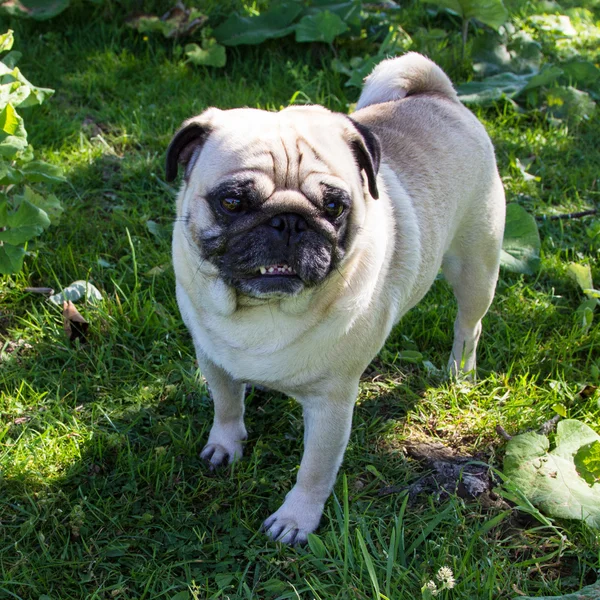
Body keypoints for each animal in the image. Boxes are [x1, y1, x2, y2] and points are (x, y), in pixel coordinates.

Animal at [165, 54, 506, 548]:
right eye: (231, 202)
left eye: (333, 208)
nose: (288, 221)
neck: (262, 313)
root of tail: (438, 95)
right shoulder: (215, 361)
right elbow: (227, 407)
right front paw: (225, 446)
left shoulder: (331, 405)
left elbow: (314, 469)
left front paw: (296, 519)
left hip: (476, 266)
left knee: (469, 323)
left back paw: (460, 371)